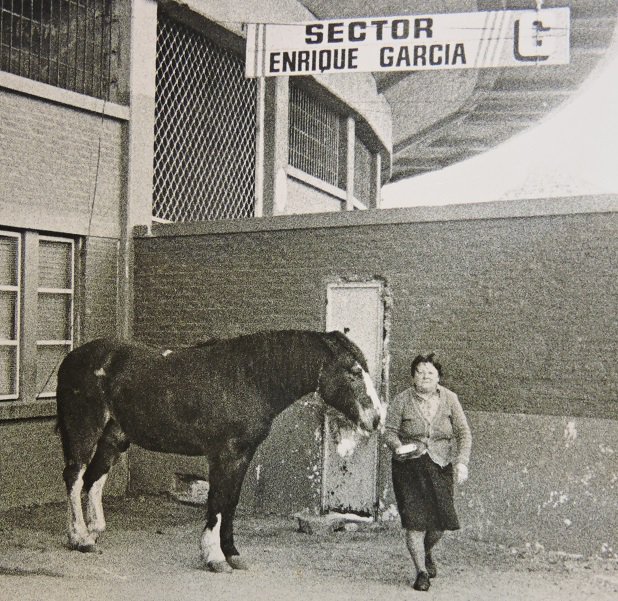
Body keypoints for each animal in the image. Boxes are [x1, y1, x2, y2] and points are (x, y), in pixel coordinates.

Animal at [57, 330, 384, 568]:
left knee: (94, 479)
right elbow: (216, 500)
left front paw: (232, 553)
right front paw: (214, 557)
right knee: (75, 477)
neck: (249, 379)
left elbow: (231, 501)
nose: (377, 417)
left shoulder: (243, 456)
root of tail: (72, 358)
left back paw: (94, 531)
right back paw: (79, 538)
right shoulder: (223, 455)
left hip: (114, 437)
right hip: (84, 430)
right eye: (353, 372)